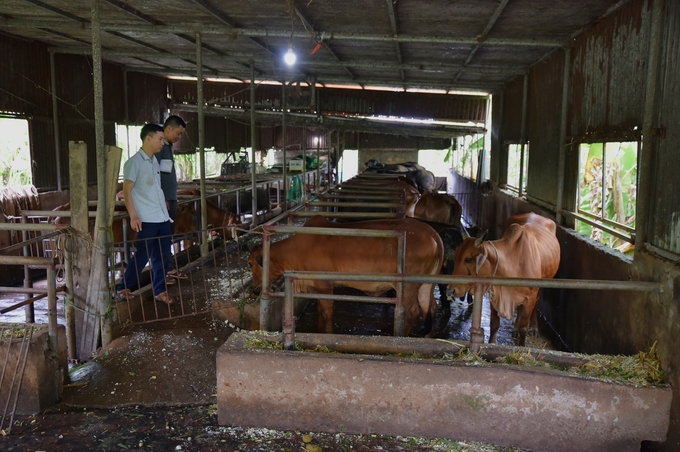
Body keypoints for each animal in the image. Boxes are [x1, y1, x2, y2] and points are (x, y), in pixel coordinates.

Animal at [247, 215, 444, 336]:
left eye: (250, 264)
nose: (255, 290)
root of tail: (432, 233)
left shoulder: (325, 285)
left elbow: (327, 311)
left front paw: (327, 333)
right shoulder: (316, 286)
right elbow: (320, 309)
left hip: (408, 284)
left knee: (412, 311)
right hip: (426, 283)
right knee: (431, 307)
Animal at [446, 213, 556, 346]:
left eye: (468, 259)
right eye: (455, 256)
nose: (450, 291)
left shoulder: (530, 296)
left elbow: (523, 327)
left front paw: (522, 345)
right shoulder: (495, 294)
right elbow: (494, 324)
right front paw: (492, 343)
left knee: (536, 303)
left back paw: (534, 327)